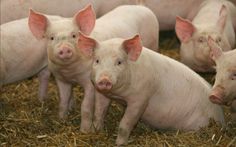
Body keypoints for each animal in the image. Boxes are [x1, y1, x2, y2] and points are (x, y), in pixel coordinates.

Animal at [78, 33, 225, 146]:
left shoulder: (141, 98)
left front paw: (119, 144)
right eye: (97, 61)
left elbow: (125, 124)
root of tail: (221, 117)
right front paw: (97, 131)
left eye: (119, 62)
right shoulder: (103, 94)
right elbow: (99, 112)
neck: (119, 95)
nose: (104, 79)